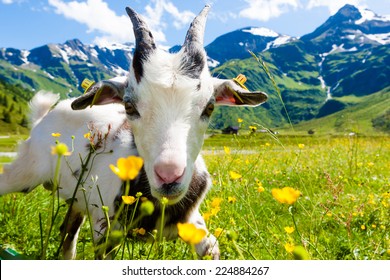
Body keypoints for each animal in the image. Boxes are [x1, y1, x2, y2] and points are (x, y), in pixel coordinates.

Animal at [0, 4, 266, 260]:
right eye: (129, 106)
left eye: (209, 107)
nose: (169, 176)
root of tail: (44, 116)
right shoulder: (105, 232)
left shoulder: (193, 224)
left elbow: (211, 247)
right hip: (25, 170)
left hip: (77, 198)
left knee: (68, 232)